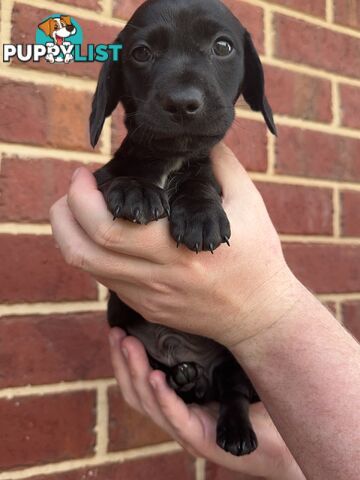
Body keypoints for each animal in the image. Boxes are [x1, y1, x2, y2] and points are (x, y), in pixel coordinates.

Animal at [90, 0, 276, 458]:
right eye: (140, 53)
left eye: (222, 46)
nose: (181, 102)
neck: (170, 159)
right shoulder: (102, 176)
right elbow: (121, 174)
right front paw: (137, 190)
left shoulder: (206, 171)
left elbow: (200, 181)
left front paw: (200, 215)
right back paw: (184, 377)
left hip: (235, 364)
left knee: (233, 394)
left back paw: (234, 429)